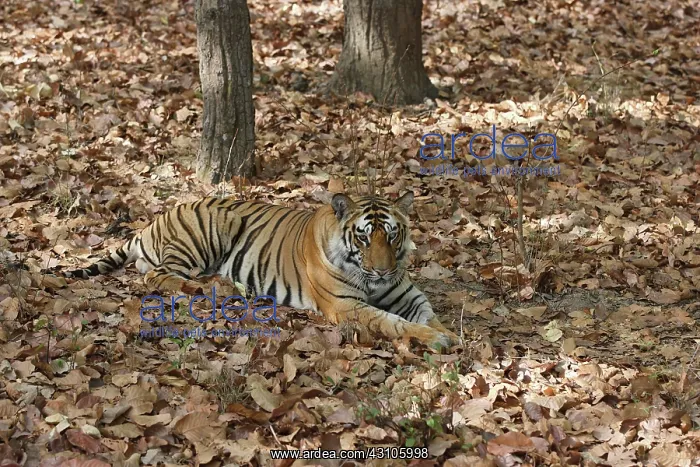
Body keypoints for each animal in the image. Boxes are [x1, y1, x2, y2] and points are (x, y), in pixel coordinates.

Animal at [56, 192, 458, 347]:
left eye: (391, 235)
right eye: (363, 238)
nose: (383, 271)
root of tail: (151, 223)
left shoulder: (407, 294)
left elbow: (428, 314)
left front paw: (449, 334)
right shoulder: (346, 306)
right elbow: (394, 323)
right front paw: (437, 338)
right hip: (213, 227)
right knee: (156, 275)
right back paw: (211, 288)